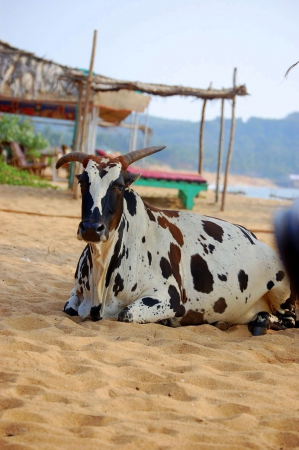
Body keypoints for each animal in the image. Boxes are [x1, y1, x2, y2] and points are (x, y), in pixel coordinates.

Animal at [56, 146, 298, 336]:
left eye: (118, 185)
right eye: (83, 182)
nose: (91, 228)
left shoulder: (168, 298)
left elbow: (126, 313)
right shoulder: (76, 295)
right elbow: (69, 308)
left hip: (282, 293)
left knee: (291, 320)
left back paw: (261, 322)